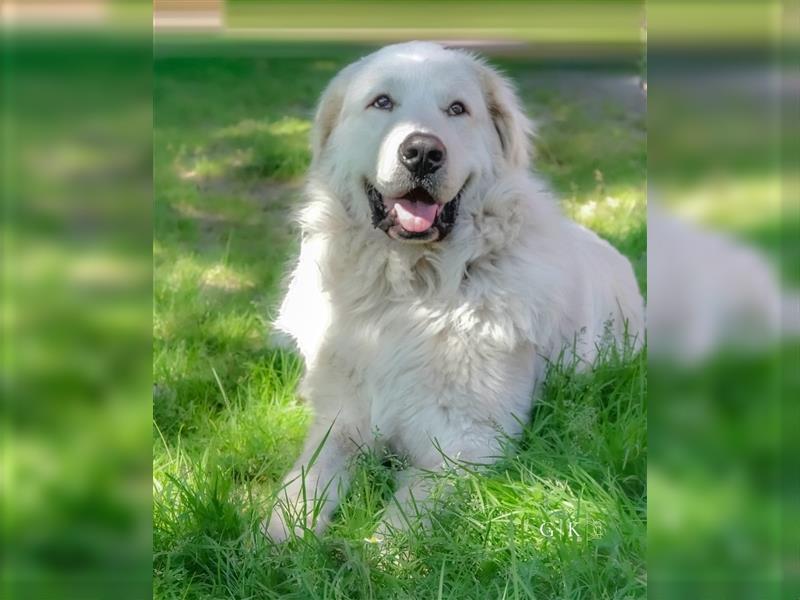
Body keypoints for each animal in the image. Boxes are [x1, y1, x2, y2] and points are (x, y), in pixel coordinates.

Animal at [262, 42, 644, 540]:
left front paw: (368, 553)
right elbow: (303, 482)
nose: (423, 152)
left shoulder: (466, 443)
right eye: (382, 102)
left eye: (457, 109)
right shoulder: (342, 423)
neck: (411, 291)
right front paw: (275, 538)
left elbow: (399, 522)